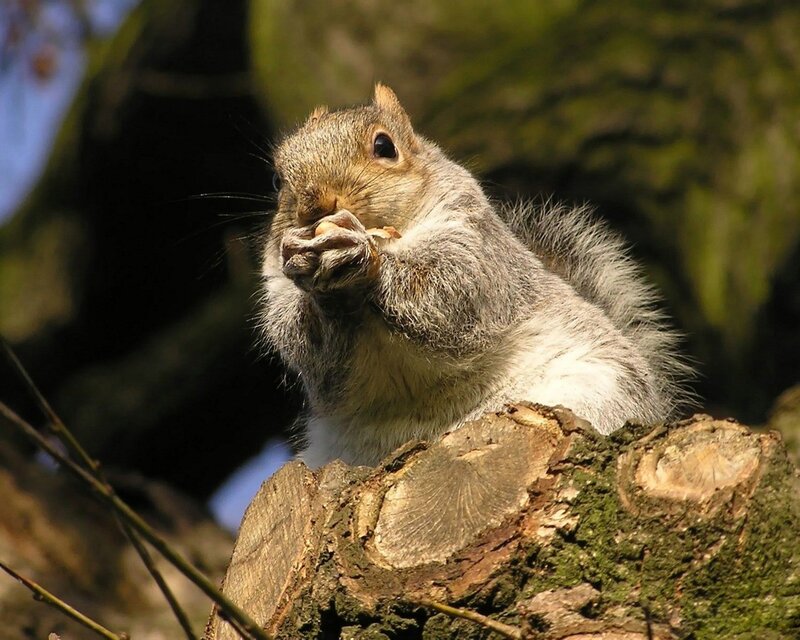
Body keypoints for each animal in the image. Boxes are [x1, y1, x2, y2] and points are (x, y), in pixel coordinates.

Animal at [259, 84, 692, 468]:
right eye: (278, 179)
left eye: (384, 147)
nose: (314, 204)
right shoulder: (278, 289)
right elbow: (312, 355)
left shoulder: (474, 242)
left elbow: (448, 293)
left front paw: (363, 256)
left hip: (600, 391)